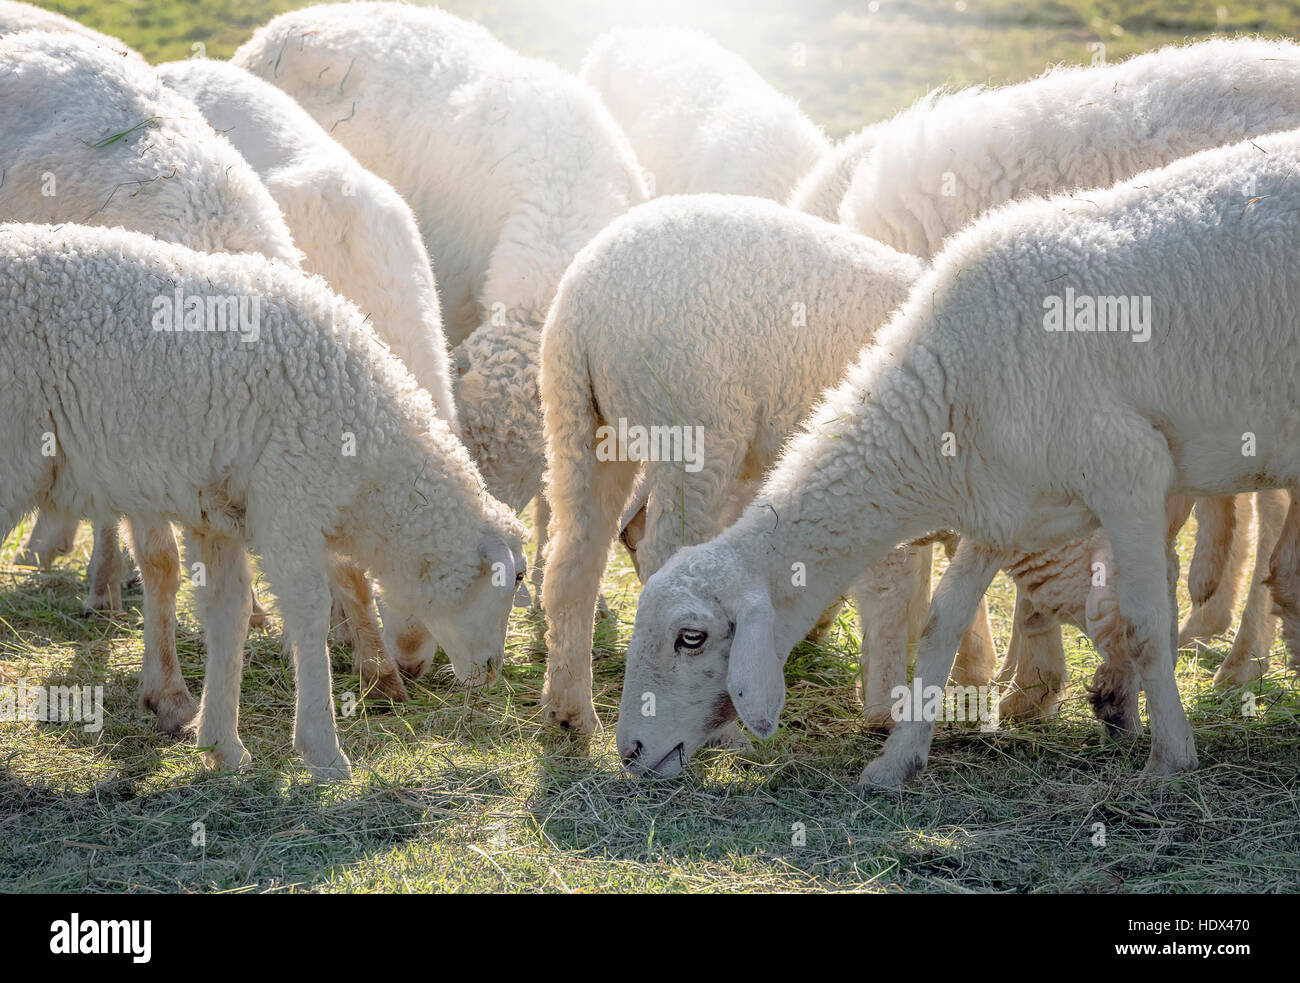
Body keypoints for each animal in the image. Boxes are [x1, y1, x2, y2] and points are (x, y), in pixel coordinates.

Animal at [0, 221, 528, 779]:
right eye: (517, 577)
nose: (491, 671)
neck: (372, 463)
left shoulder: (217, 511)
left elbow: (227, 615)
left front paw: (222, 746)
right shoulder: (287, 500)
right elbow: (309, 612)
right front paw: (322, 748)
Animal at [539, 194, 997, 732]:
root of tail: (581, 302)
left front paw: (962, 673)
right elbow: (900, 580)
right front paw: (892, 700)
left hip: (580, 422)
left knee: (574, 558)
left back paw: (570, 710)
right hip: (694, 422)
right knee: (664, 550)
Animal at [614, 126, 1300, 786]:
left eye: (691, 637)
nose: (630, 752)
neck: (944, 393)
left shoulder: (1129, 475)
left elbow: (1147, 624)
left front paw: (1170, 759)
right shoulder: (1004, 506)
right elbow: (941, 622)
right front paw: (896, 762)